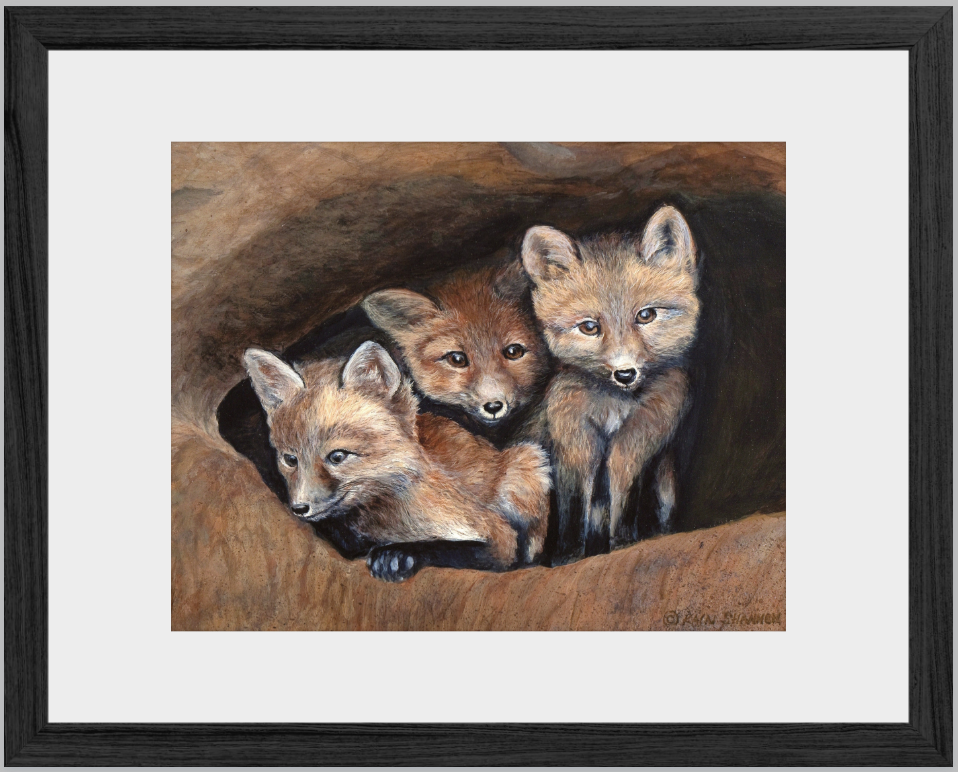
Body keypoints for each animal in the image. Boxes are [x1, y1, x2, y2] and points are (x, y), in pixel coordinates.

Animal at [244, 340, 551, 582]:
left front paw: (397, 555)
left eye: (338, 456)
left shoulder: (497, 536)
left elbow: (448, 548)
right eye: (290, 459)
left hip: (529, 464)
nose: (299, 508)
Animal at [519, 205, 700, 561]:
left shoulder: (639, 440)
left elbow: (624, 499)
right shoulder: (574, 440)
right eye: (589, 327)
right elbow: (574, 507)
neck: (615, 407)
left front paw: (624, 543)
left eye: (646, 316)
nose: (625, 373)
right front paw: (568, 556)